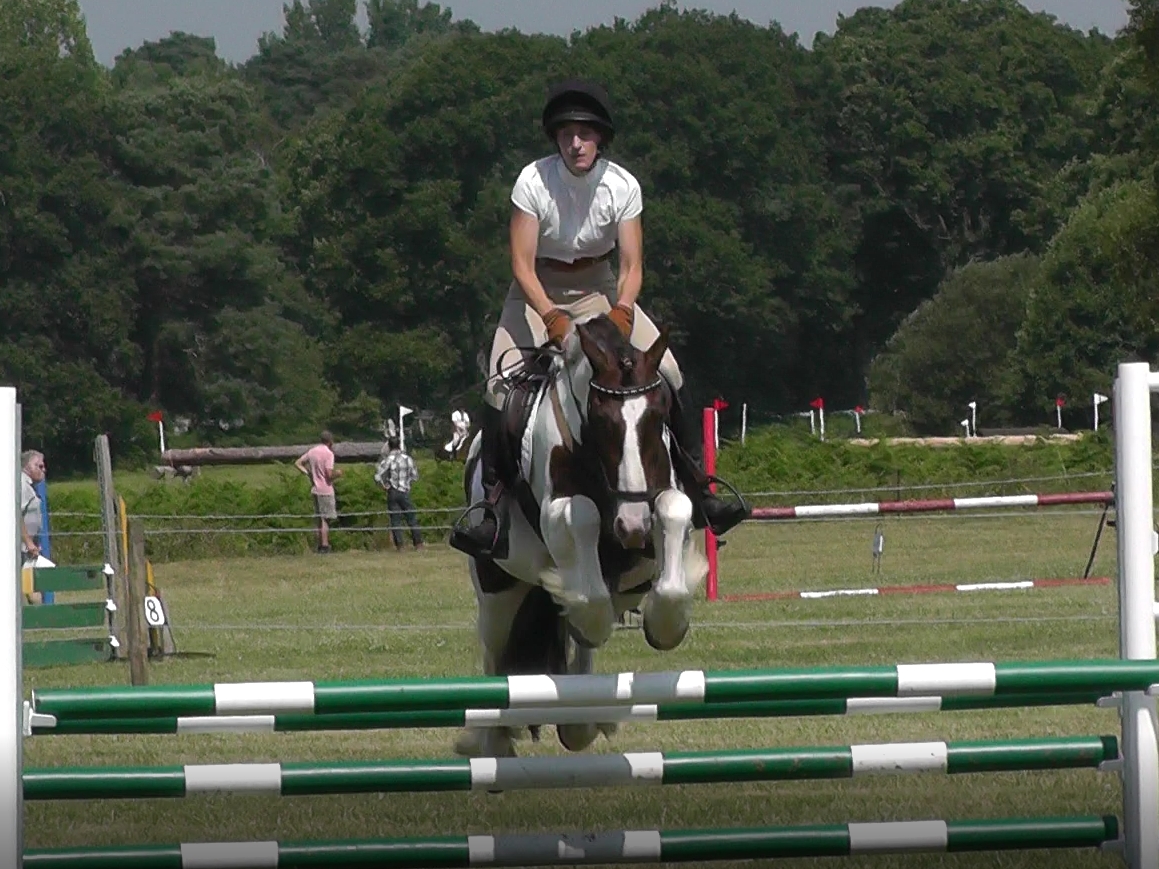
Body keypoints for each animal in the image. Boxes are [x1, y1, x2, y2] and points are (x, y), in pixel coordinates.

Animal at [452, 314, 707, 759]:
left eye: (660, 415)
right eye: (601, 420)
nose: (633, 526)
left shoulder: (664, 494)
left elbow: (673, 509)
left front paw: (666, 624)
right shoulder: (557, 512)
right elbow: (583, 514)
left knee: (581, 651)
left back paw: (580, 723)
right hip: (497, 592)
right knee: (495, 657)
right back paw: (495, 742)